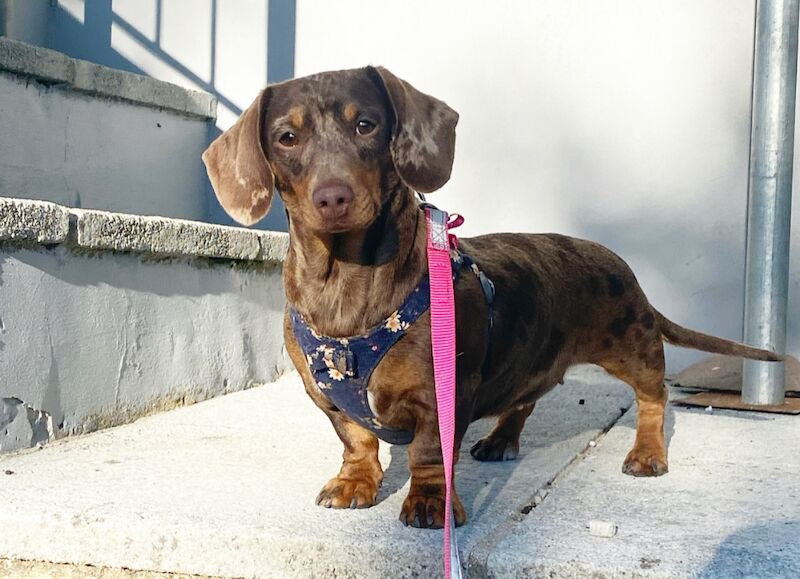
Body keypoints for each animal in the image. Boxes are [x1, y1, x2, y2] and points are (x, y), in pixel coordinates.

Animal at [202, 67, 780, 532]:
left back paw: (647, 452)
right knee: (525, 396)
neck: (344, 280)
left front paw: (431, 505)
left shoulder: (440, 393)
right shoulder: (328, 399)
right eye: (287, 137)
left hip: (632, 345)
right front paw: (355, 483)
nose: (333, 198)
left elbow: (430, 454)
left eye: (366, 125)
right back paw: (502, 439)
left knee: (655, 396)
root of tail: (619, 262)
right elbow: (356, 439)